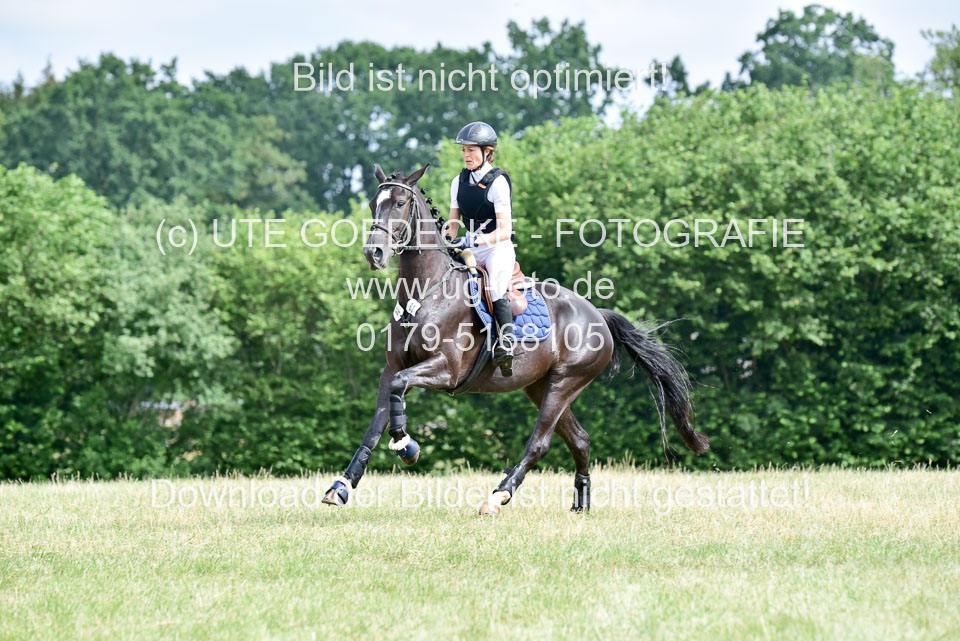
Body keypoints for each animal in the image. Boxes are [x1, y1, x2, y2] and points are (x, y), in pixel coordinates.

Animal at [322, 163, 709, 515]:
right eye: (373, 203)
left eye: (401, 202)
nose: (374, 254)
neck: (425, 292)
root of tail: (598, 315)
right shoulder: (391, 369)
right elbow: (377, 421)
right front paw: (341, 487)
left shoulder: (445, 370)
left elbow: (401, 388)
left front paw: (406, 446)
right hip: (540, 386)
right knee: (580, 440)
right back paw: (580, 504)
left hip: (565, 382)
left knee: (540, 444)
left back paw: (497, 497)